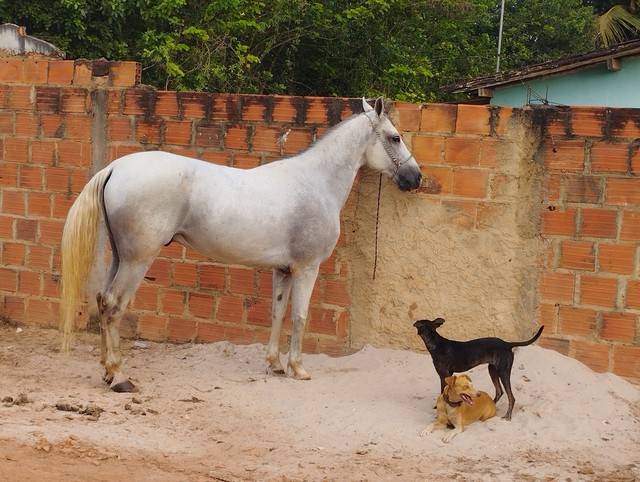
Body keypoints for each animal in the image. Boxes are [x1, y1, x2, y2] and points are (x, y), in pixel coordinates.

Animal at [58, 97, 420, 392]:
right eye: (395, 137)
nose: (415, 178)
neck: (316, 183)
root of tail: (114, 167)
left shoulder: (283, 270)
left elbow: (277, 313)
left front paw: (275, 365)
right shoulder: (307, 268)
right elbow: (299, 316)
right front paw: (298, 369)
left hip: (121, 257)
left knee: (103, 301)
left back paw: (107, 372)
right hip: (137, 260)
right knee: (114, 306)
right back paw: (120, 378)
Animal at [412, 318, 544, 420]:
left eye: (420, 323)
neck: (436, 343)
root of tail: (507, 344)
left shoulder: (443, 375)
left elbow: (442, 392)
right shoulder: (446, 375)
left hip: (503, 371)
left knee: (511, 397)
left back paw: (507, 416)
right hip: (492, 370)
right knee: (499, 392)